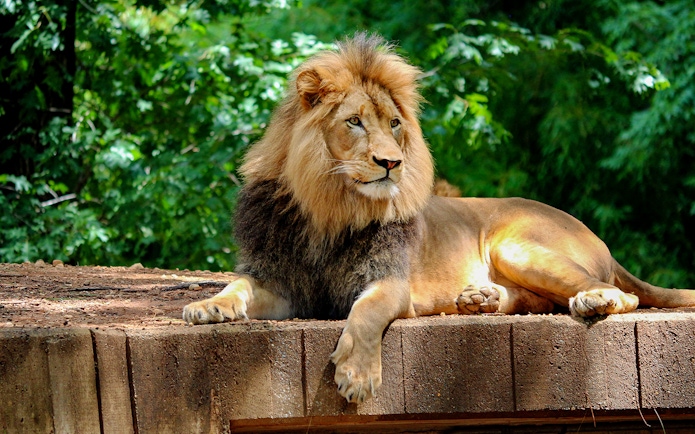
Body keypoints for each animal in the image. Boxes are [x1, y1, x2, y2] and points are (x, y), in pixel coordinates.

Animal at [183, 33, 695, 404]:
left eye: (394, 124)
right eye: (354, 122)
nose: (391, 163)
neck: (330, 210)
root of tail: (594, 235)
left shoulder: (390, 282)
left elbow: (365, 313)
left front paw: (357, 374)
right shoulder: (281, 283)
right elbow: (238, 284)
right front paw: (209, 306)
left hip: (516, 246)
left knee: (620, 295)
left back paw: (589, 301)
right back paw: (480, 299)